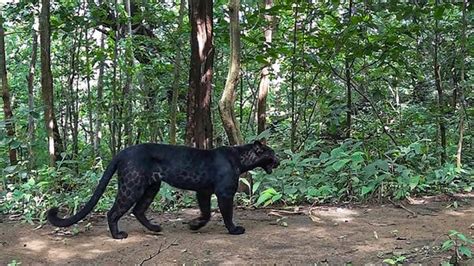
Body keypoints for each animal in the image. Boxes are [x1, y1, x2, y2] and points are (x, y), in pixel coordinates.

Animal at [46, 141, 280, 239]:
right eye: (272, 153)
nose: (279, 160)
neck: (240, 158)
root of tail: (122, 152)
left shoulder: (203, 191)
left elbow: (206, 212)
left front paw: (194, 225)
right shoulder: (224, 192)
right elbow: (226, 213)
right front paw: (234, 229)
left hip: (151, 186)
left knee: (138, 210)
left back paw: (155, 228)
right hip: (133, 186)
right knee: (114, 212)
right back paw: (118, 235)